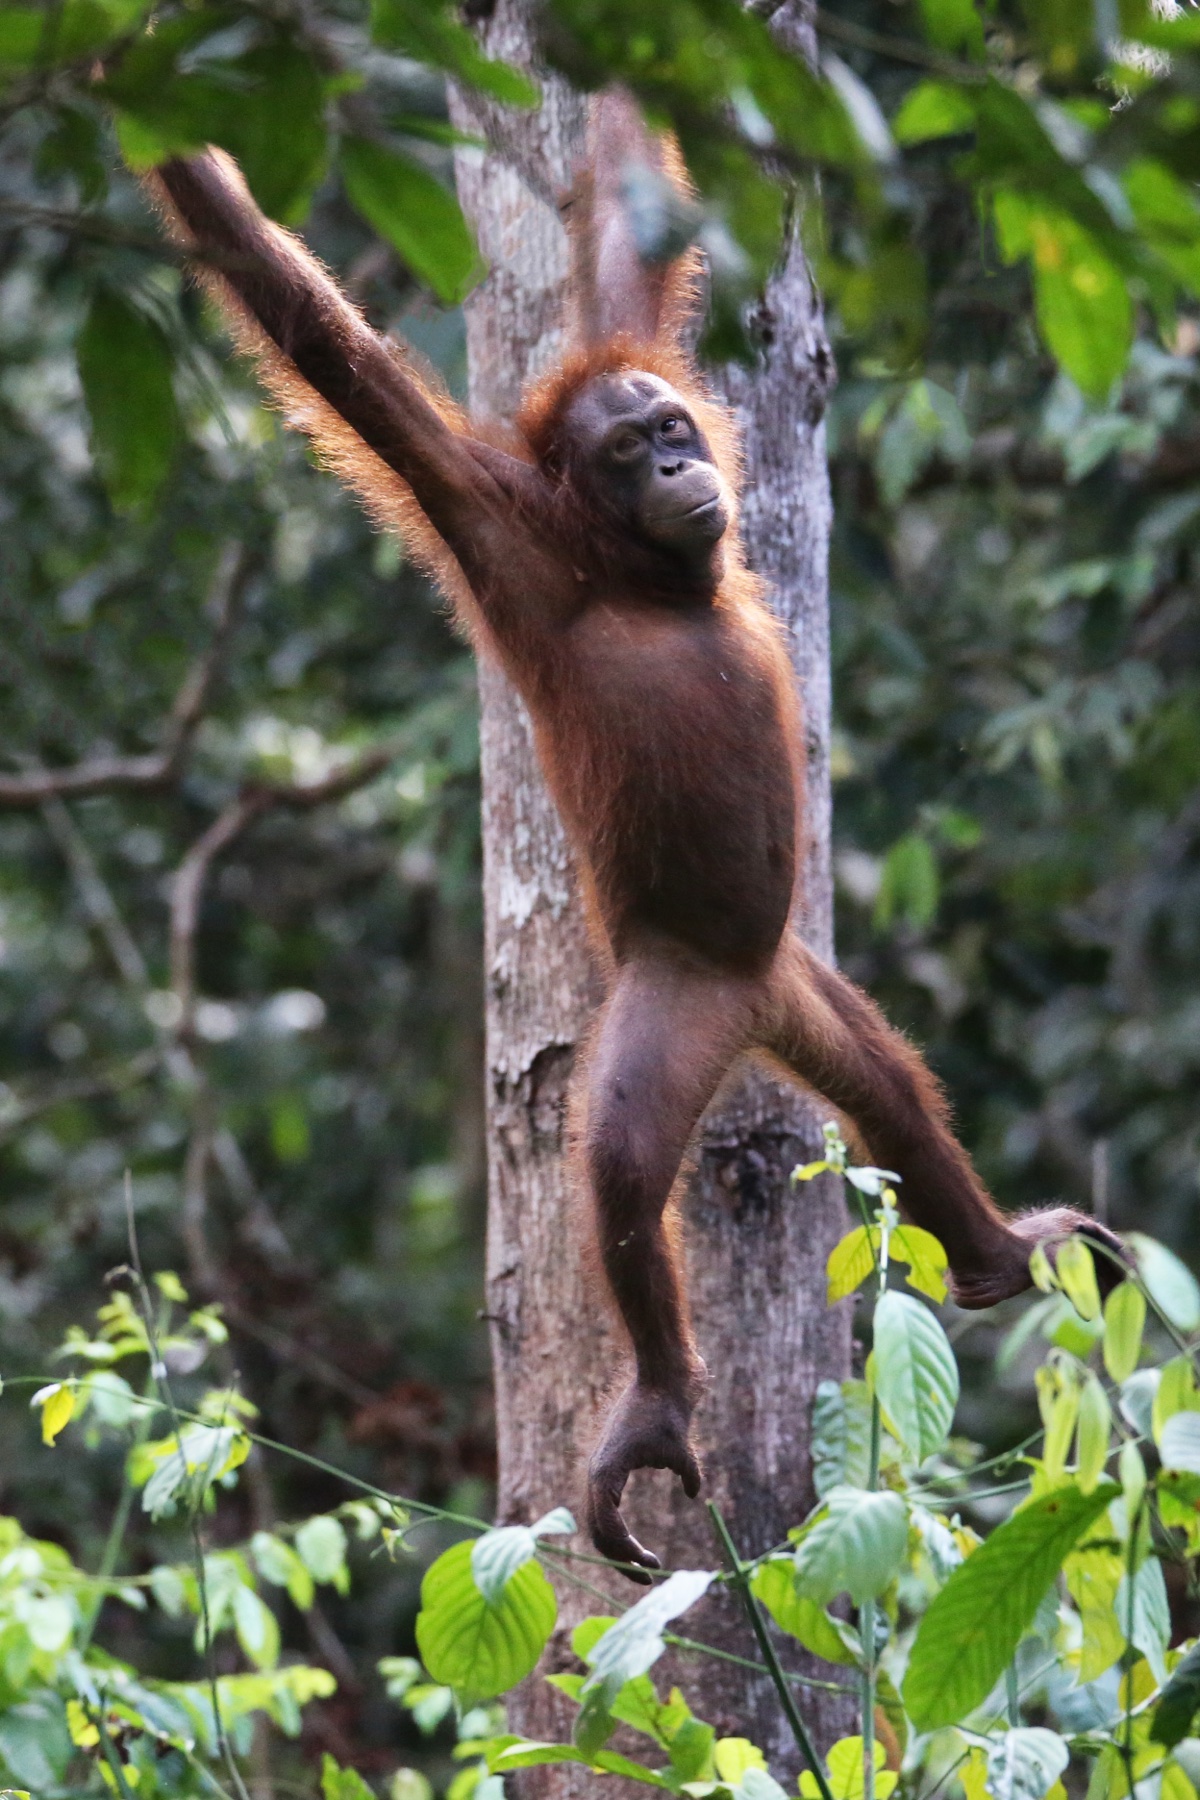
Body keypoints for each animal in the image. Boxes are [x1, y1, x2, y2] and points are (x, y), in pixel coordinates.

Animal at [146, 94, 1125, 1580]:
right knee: (616, 1163)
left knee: (885, 1082)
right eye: (625, 454)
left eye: (669, 421)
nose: (676, 461)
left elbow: (625, 250)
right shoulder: (489, 514)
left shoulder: (616, 371)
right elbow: (321, 339)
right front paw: (189, 164)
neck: (647, 577)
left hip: (790, 979)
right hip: (670, 1001)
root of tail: (739, 1006)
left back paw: (997, 1253)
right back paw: (659, 1410)